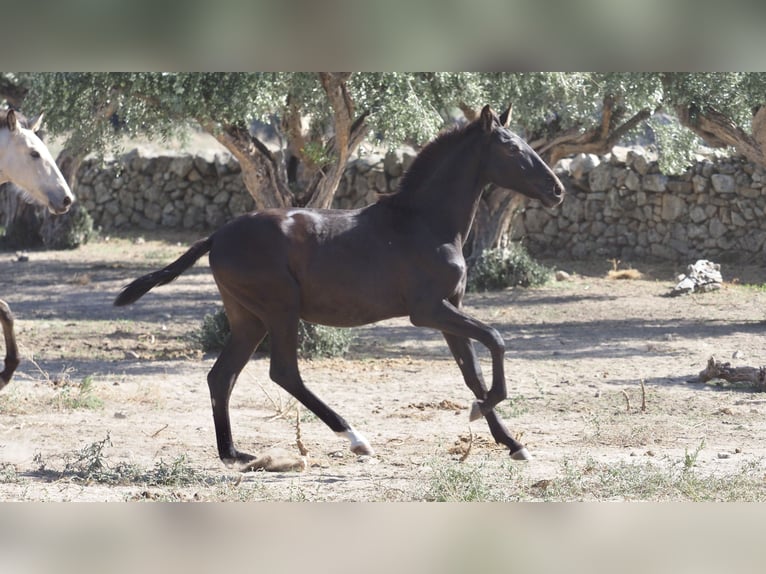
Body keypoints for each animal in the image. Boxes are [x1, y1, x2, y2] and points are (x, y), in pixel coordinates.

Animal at [117, 106, 568, 470]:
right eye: (511, 148)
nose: (557, 190)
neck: (425, 223)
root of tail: (217, 236)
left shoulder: (449, 308)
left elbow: (472, 373)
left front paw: (512, 442)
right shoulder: (428, 310)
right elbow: (496, 339)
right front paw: (483, 412)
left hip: (248, 318)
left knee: (221, 376)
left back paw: (234, 454)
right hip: (279, 309)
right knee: (283, 373)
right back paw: (355, 439)